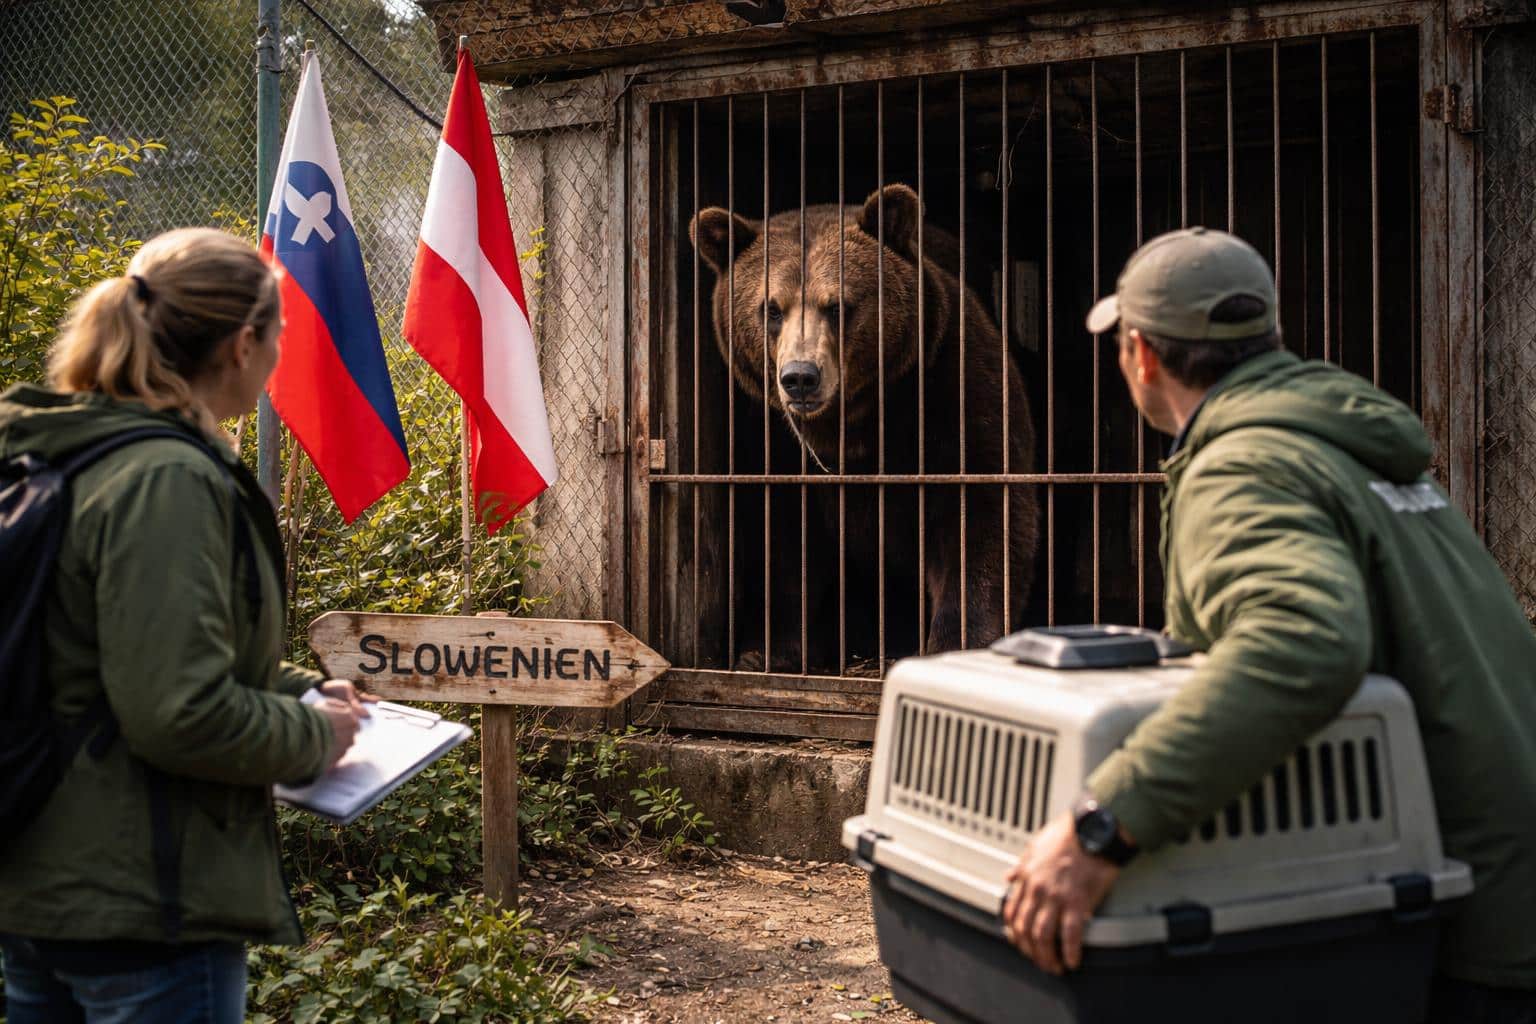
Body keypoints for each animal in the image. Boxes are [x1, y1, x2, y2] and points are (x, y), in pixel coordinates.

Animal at [690, 183, 1039, 670]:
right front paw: (766, 650)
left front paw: (953, 644)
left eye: (836, 305)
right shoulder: (769, 435)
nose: (800, 377)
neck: (854, 425)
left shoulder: (953, 391)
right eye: (771, 309)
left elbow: (983, 516)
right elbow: (783, 541)